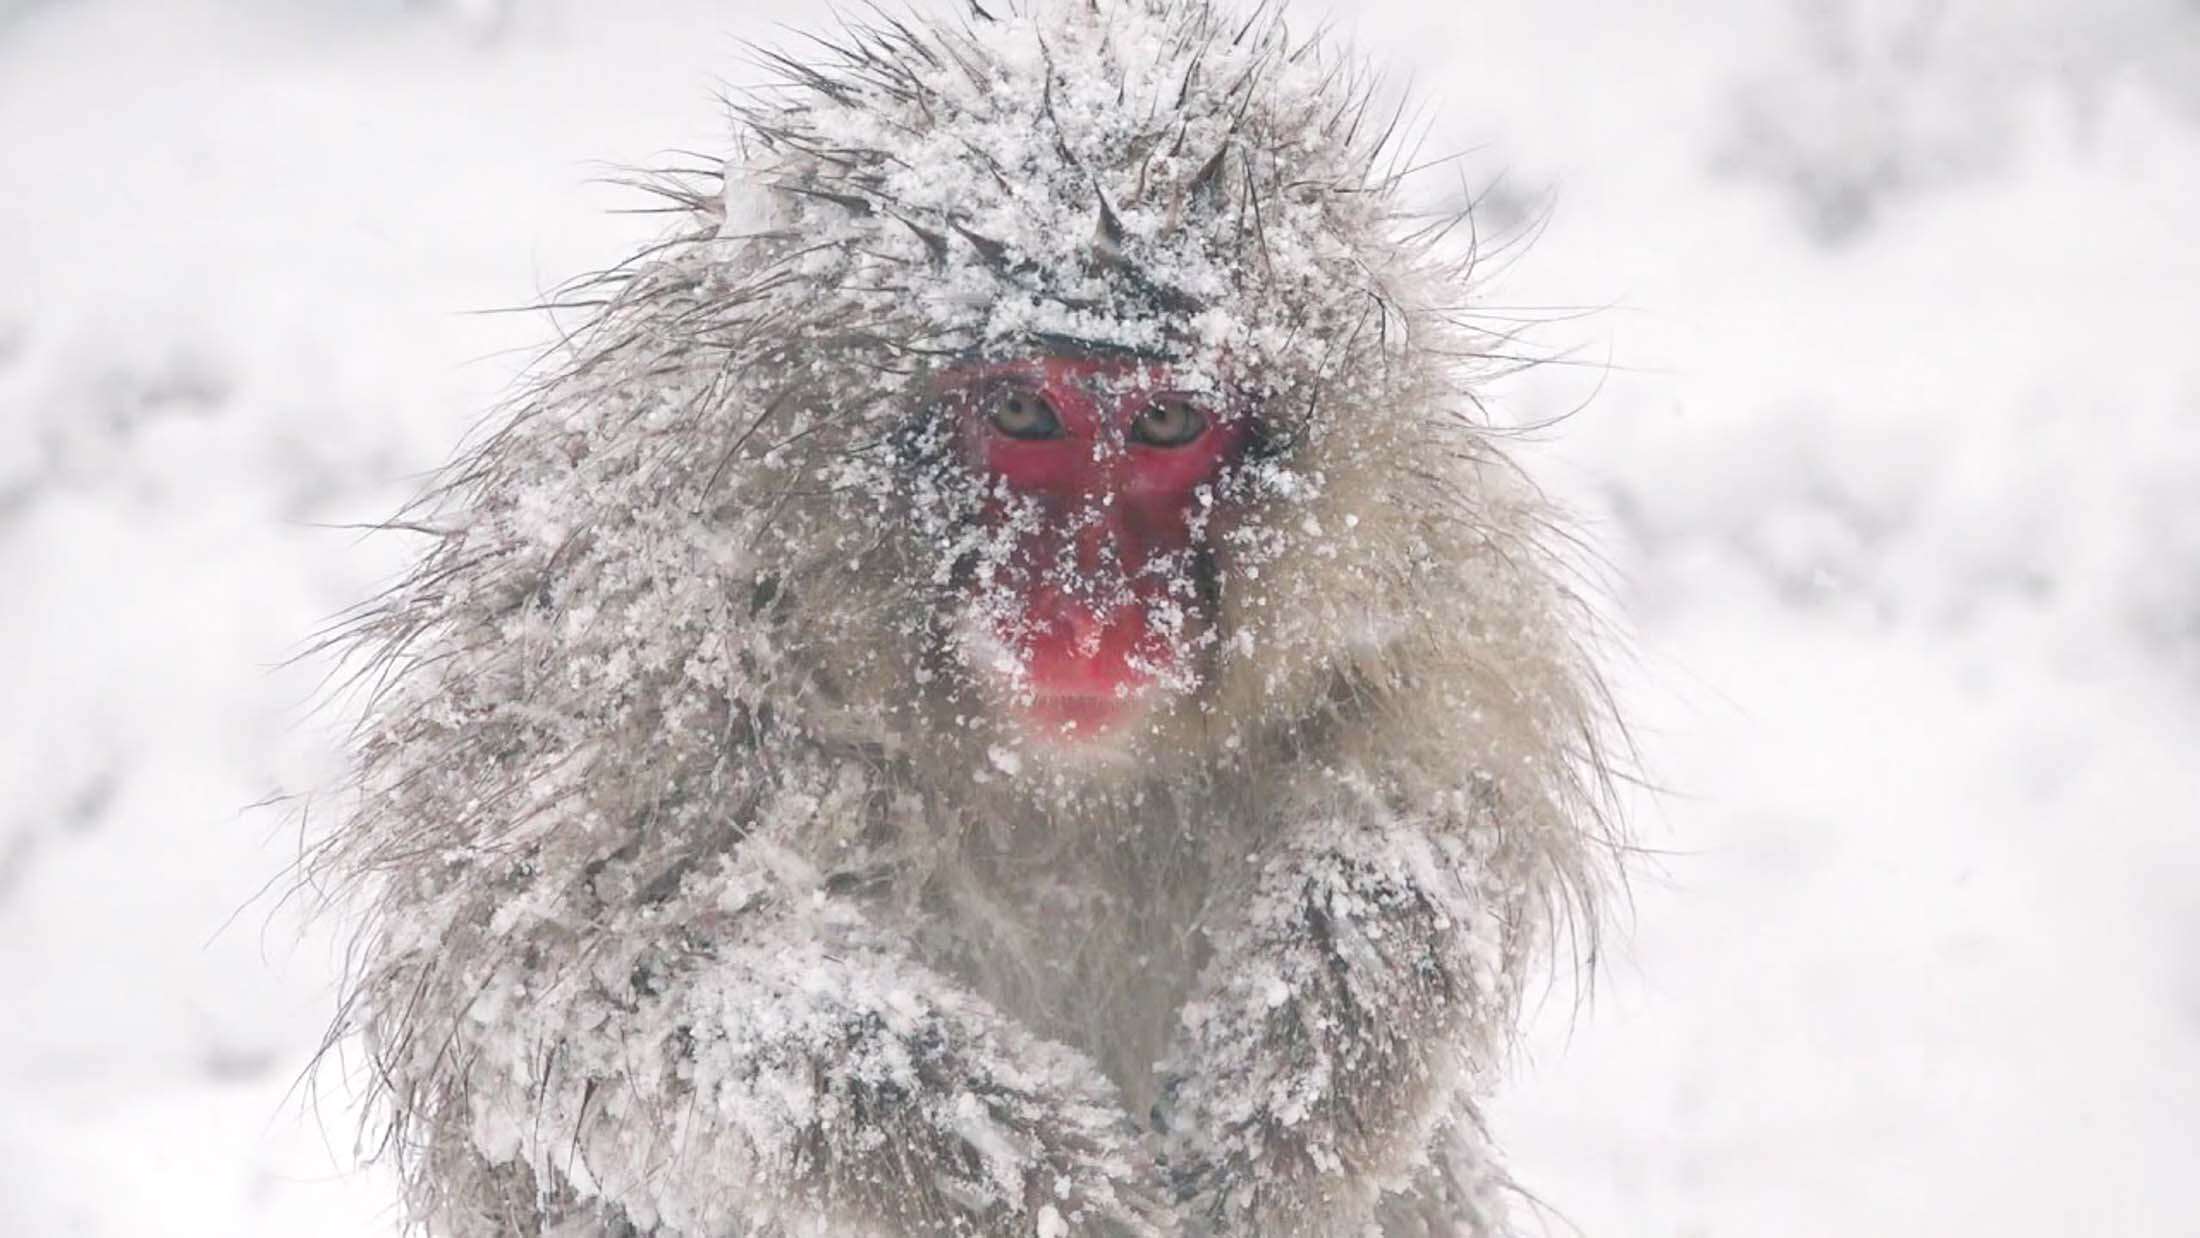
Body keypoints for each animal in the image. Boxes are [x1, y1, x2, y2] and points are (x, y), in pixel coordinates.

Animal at [310, 2, 1619, 1238]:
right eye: (1023, 412)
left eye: (1164, 422)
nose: (1088, 618)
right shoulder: (651, 631)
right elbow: (568, 974)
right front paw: (1041, 1183)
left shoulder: (1412, 557)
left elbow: (1444, 799)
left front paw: (1286, 1092)